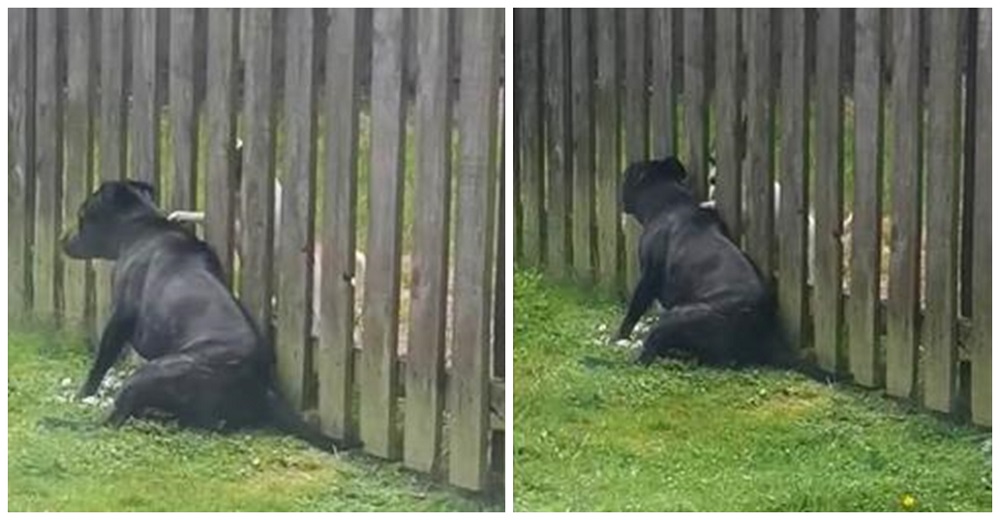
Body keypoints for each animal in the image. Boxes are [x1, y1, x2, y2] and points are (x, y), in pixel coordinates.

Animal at [58, 180, 356, 450]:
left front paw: (84, 393)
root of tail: (261, 386)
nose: (63, 239)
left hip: (153, 372)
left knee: (113, 419)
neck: (142, 226)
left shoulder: (119, 318)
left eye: (82, 215)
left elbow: (101, 361)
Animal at [612, 156, 792, 368]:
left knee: (648, 353)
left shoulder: (648, 277)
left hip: (675, 316)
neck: (669, 204)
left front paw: (619, 336)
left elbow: (634, 309)